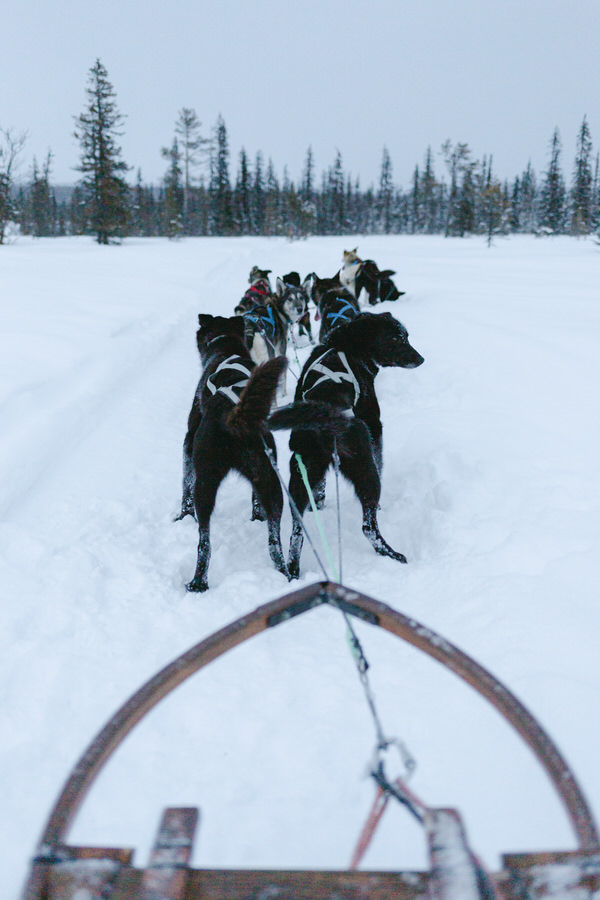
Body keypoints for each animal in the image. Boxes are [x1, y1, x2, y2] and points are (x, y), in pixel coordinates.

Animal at [176, 312, 288, 596]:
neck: (225, 347)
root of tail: (233, 416)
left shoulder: (188, 441)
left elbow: (184, 484)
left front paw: (183, 516)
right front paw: (256, 516)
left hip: (205, 483)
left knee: (204, 542)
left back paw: (197, 583)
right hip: (269, 481)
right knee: (274, 543)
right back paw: (284, 574)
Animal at [270, 310, 424, 576]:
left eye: (406, 336)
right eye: (397, 338)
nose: (421, 358)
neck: (346, 346)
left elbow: (320, 490)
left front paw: (319, 504)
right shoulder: (374, 425)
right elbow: (380, 460)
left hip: (299, 478)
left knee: (297, 533)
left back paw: (293, 569)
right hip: (364, 471)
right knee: (368, 526)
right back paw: (391, 553)